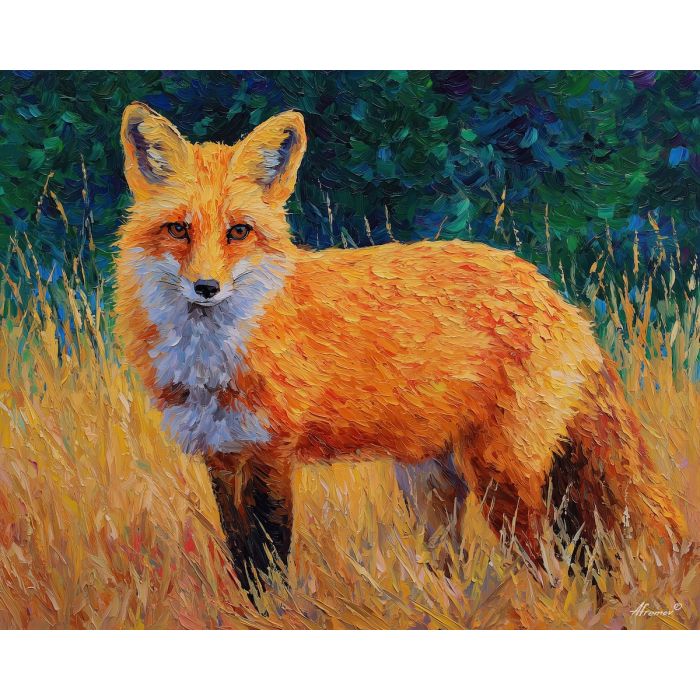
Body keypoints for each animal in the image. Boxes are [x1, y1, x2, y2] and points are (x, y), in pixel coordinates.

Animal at [115, 102, 685, 588]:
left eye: (238, 231)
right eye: (178, 230)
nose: (206, 287)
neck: (211, 362)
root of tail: (555, 296)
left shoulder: (270, 455)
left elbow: (271, 563)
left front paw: (276, 616)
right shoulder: (222, 456)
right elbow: (244, 562)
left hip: (502, 481)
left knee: (548, 568)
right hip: (433, 488)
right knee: (464, 573)